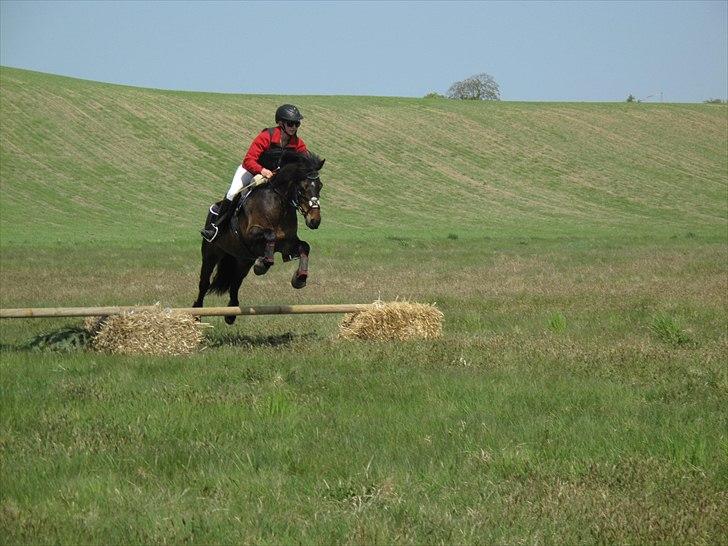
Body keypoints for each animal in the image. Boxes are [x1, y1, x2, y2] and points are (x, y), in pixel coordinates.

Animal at [196, 148, 328, 324]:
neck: (278, 202)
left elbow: (304, 247)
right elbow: (270, 235)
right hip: (211, 253)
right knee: (204, 283)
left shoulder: (286, 243)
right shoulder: (252, 235)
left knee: (236, 283)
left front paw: (299, 278)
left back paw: (231, 314)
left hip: (243, 260)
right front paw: (263, 265)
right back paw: (196, 313)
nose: (315, 221)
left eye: (320, 186)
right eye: (302, 187)